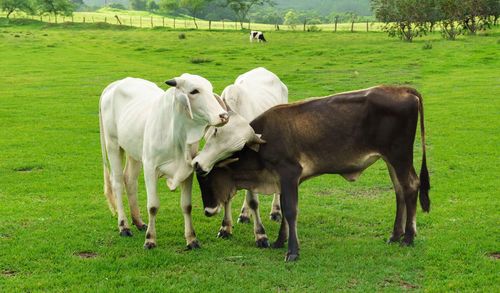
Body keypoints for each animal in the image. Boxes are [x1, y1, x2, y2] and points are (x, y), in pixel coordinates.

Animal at [99, 75, 229, 249]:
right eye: (194, 91)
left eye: (210, 89)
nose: (224, 116)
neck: (177, 135)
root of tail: (116, 83)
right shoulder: (150, 168)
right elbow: (153, 206)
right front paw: (150, 240)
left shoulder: (188, 170)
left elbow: (186, 206)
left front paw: (192, 239)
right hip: (113, 145)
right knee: (118, 183)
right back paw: (124, 226)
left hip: (134, 152)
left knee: (130, 180)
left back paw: (138, 222)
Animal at [192, 67, 288, 245]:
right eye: (216, 131)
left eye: (236, 149)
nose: (199, 166)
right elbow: (228, 195)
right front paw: (225, 228)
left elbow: (253, 201)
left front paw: (260, 235)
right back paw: (244, 214)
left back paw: (276, 212)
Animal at [194, 85, 430, 262]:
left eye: (207, 179)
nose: (207, 210)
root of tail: (402, 89)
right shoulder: (282, 179)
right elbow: (284, 211)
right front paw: (279, 242)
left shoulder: (289, 173)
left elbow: (290, 211)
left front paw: (292, 251)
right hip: (390, 159)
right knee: (399, 191)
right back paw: (395, 235)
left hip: (399, 155)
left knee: (410, 186)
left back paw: (408, 237)